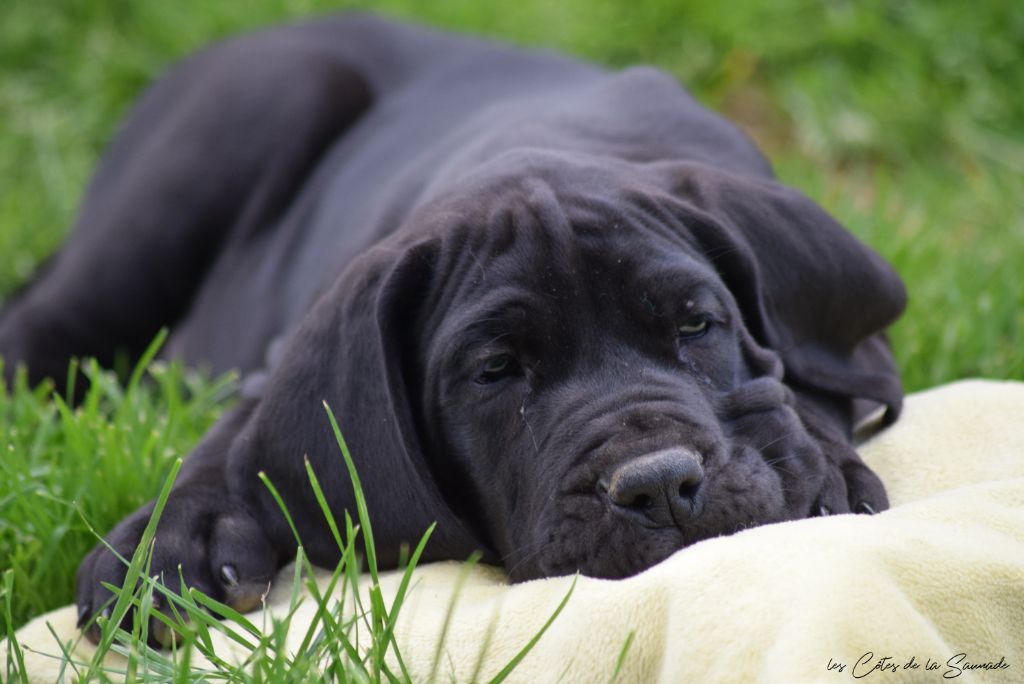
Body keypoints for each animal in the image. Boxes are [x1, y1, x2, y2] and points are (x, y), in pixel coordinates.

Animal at [0, 14, 906, 641]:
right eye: (495, 371)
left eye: (697, 323)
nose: (657, 485)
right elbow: (237, 432)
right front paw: (164, 546)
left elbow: (813, 384)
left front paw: (822, 466)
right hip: (246, 116)